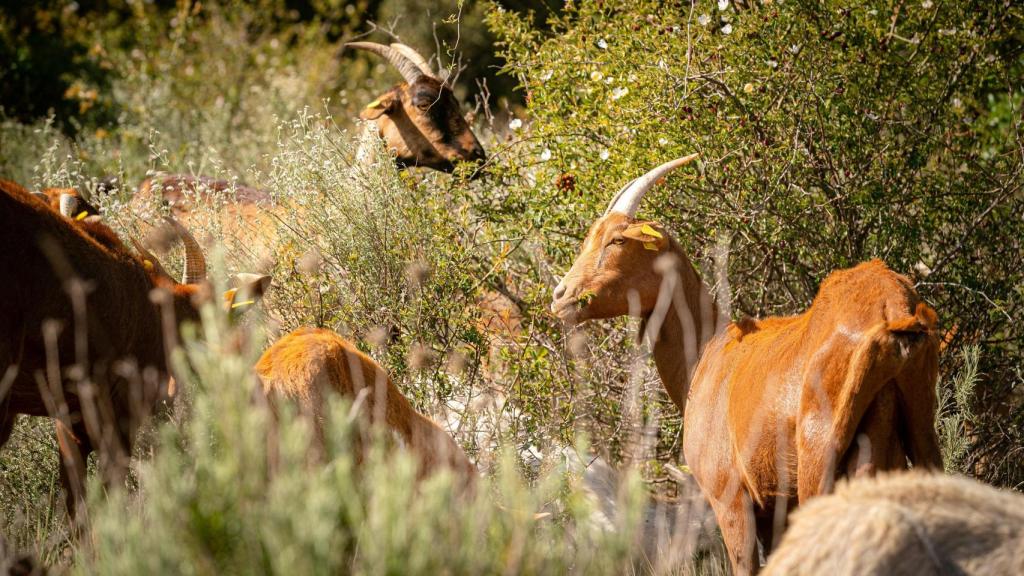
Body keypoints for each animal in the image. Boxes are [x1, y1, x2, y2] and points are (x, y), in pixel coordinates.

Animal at [550, 156, 943, 575]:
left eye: (617, 240)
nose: (560, 295)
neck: (707, 353)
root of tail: (894, 309)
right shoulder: (773, 506)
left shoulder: (730, 496)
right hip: (917, 435)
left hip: (819, 457)